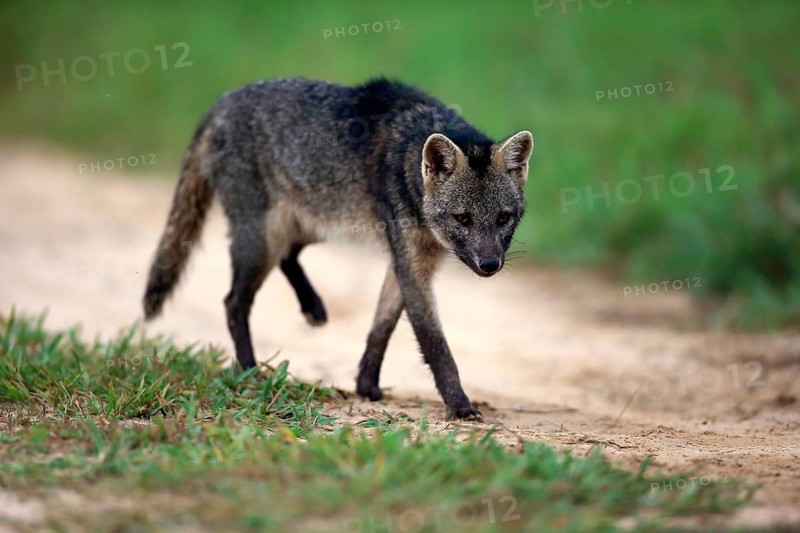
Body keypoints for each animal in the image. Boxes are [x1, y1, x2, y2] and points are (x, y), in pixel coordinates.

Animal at [142, 77, 533, 420]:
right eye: (463, 218)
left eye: (503, 218)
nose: (489, 264)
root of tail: (223, 99)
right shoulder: (411, 264)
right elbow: (436, 346)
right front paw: (459, 405)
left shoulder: (407, 262)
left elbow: (381, 328)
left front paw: (366, 386)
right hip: (263, 241)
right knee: (233, 302)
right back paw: (250, 372)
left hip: (311, 225)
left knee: (288, 258)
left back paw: (312, 308)